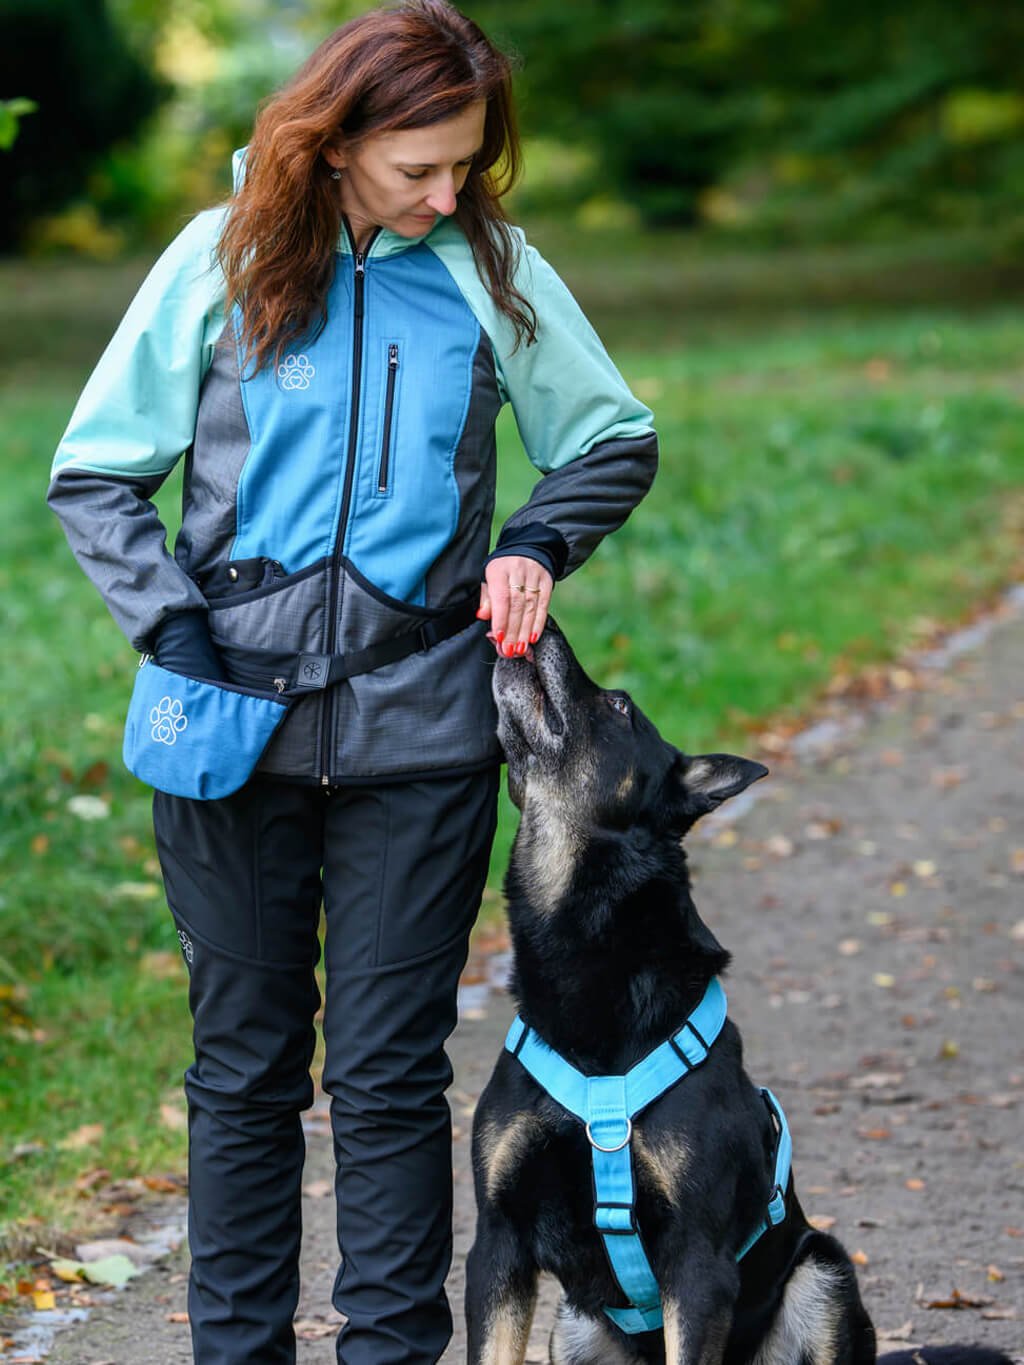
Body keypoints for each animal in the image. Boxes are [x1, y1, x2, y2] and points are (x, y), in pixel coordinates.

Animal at [466, 625, 1021, 1365]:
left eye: (619, 708)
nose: (546, 625)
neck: (589, 964)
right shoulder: (497, 1244)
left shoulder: (696, 1261)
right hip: (575, 1325)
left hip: (823, 1271)